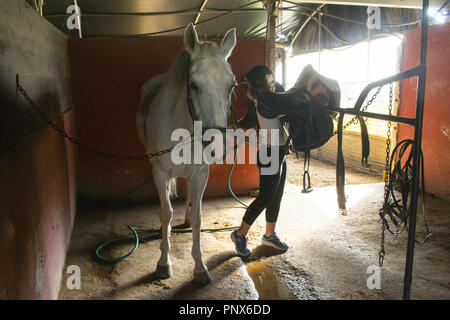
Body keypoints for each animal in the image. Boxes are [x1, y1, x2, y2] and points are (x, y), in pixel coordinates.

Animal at [135, 25, 237, 284]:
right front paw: (163, 263)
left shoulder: (200, 174)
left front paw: (200, 267)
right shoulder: (160, 173)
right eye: (193, 85)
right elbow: (165, 213)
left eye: (232, 85)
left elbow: (199, 216)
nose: (217, 144)